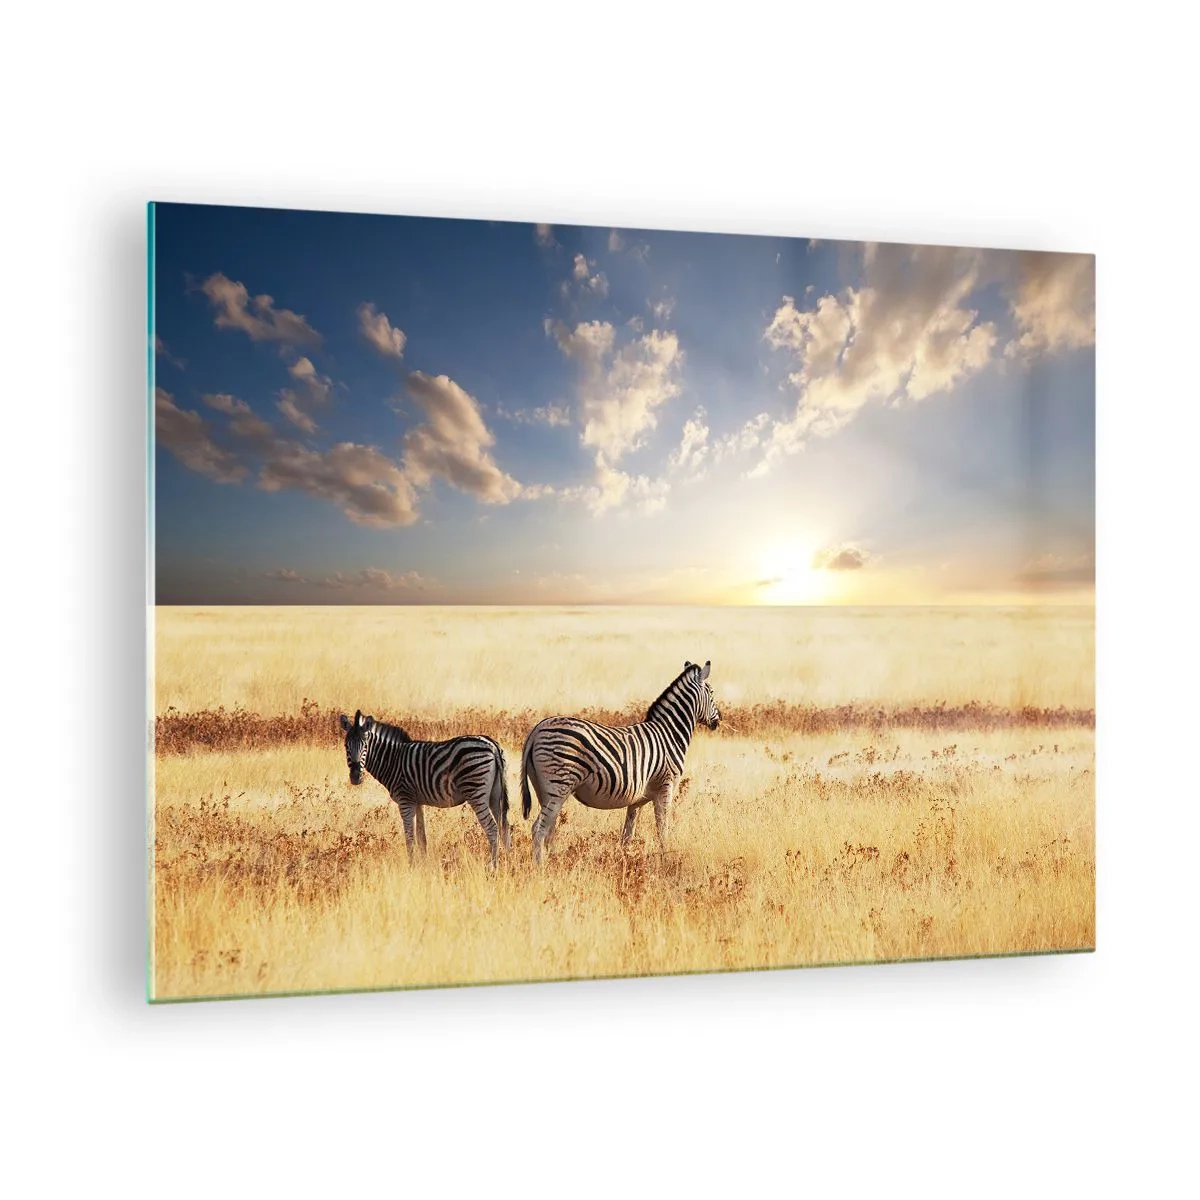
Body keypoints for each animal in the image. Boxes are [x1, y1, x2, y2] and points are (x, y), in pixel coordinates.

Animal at [339, 710, 511, 867]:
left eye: (365, 746)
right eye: (346, 746)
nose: (355, 777)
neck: (392, 760)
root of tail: (492, 745)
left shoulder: (405, 799)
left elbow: (409, 837)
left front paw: (411, 866)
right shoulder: (417, 801)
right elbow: (422, 838)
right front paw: (423, 865)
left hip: (476, 791)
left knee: (492, 828)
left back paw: (493, 866)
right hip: (495, 795)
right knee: (504, 827)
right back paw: (509, 863)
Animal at [520, 660, 721, 865]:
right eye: (712, 692)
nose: (718, 720)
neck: (669, 734)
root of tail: (537, 729)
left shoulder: (637, 799)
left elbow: (627, 835)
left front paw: (625, 862)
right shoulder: (666, 786)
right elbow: (662, 830)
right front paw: (665, 860)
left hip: (544, 790)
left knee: (549, 829)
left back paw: (555, 862)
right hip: (558, 786)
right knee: (539, 829)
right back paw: (541, 867)